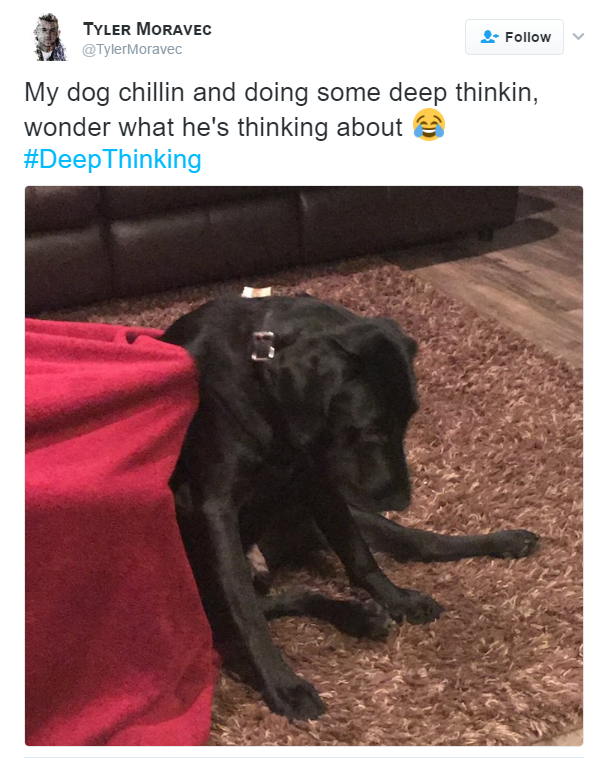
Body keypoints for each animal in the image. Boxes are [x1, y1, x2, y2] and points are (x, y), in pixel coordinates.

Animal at [161, 294, 539, 721]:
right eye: (370, 428)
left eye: (409, 419)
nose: (401, 500)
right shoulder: (215, 509)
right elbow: (245, 611)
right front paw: (283, 685)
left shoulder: (319, 482)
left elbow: (360, 557)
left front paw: (397, 600)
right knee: (249, 608)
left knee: (414, 543)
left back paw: (502, 543)